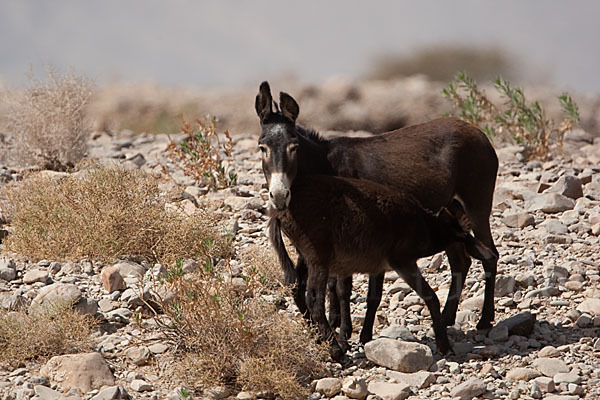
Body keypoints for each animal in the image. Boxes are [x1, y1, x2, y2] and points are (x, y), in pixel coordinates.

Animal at [270, 175, 496, 362]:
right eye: (463, 236)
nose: (490, 254)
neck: (424, 226)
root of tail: (279, 214)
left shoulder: (378, 267)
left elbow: (374, 297)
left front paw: (365, 338)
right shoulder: (402, 262)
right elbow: (430, 297)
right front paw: (444, 346)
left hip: (308, 258)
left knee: (299, 290)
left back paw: (324, 341)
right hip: (318, 259)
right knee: (314, 300)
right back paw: (336, 351)